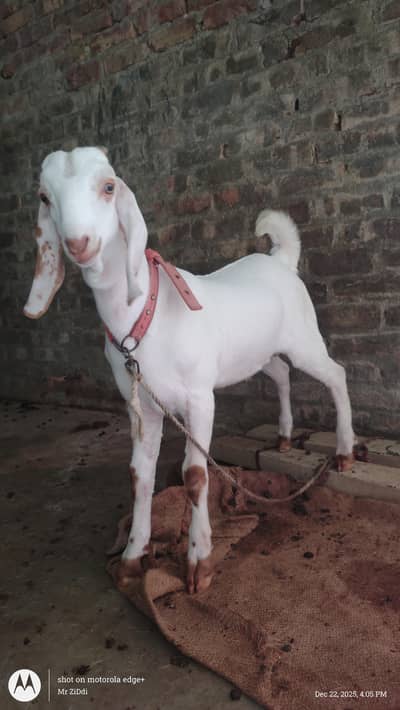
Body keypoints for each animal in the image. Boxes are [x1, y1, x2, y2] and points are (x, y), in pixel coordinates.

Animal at [24, 147, 355, 594]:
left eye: (108, 187)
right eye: (45, 197)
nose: (79, 243)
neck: (145, 318)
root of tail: (280, 260)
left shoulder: (199, 398)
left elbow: (195, 475)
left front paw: (200, 562)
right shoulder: (141, 406)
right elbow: (139, 475)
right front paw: (133, 557)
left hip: (304, 339)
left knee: (334, 373)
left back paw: (344, 451)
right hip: (258, 351)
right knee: (281, 373)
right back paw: (285, 436)